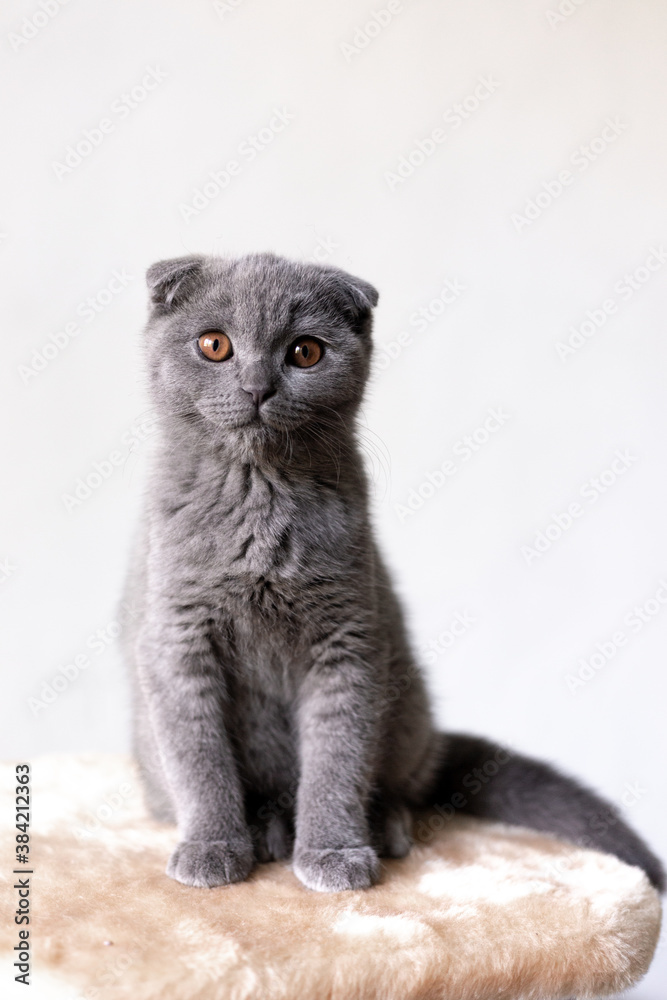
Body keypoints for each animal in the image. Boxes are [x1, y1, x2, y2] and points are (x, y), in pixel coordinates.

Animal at [124, 254, 664, 896]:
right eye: (214, 345)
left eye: (305, 352)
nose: (258, 387)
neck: (261, 499)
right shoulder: (178, 639)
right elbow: (199, 758)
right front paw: (212, 848)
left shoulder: (349, 640)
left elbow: (337, 759)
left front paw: (333, 851)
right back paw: (264, 828)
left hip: (407, 706)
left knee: (403, 782)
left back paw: (374, 825)